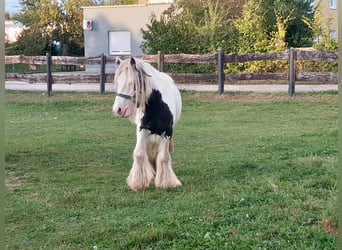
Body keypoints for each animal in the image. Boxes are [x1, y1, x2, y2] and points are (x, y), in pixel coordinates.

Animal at [112, 58, 182, 191]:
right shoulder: (142, 130)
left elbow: (164, 157)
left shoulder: (167, 132)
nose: (118, 109)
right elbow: (139, 154)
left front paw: (167, 182)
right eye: (117, 82)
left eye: (132, 82)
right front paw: (138, 183)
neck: (157, 105)